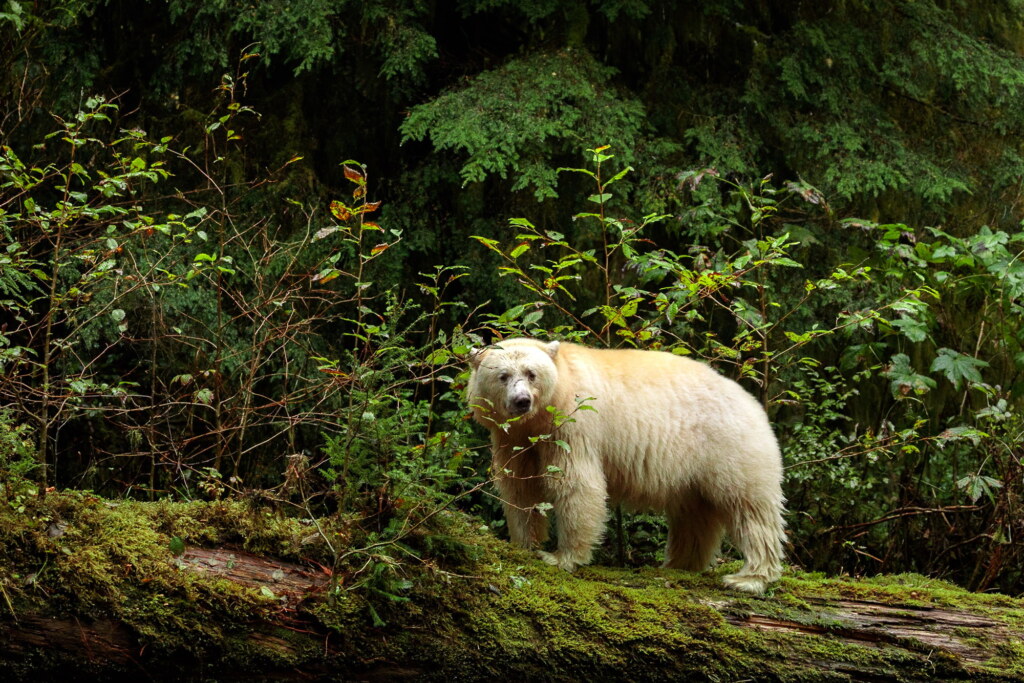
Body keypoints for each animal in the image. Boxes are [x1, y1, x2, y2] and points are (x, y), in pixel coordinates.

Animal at [467, 337, 786, 594]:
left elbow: (576, 485)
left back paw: (749, 578)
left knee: (750, 508)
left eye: (531, 374)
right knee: (694, 516)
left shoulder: (573, 424)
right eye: (503, 376)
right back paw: (677, 565)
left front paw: (561, 557)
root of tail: (752, 403)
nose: (521, 400)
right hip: (694, 469)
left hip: (727, 446)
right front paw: (523, 545)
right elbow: (519, 488)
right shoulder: (512, 439)